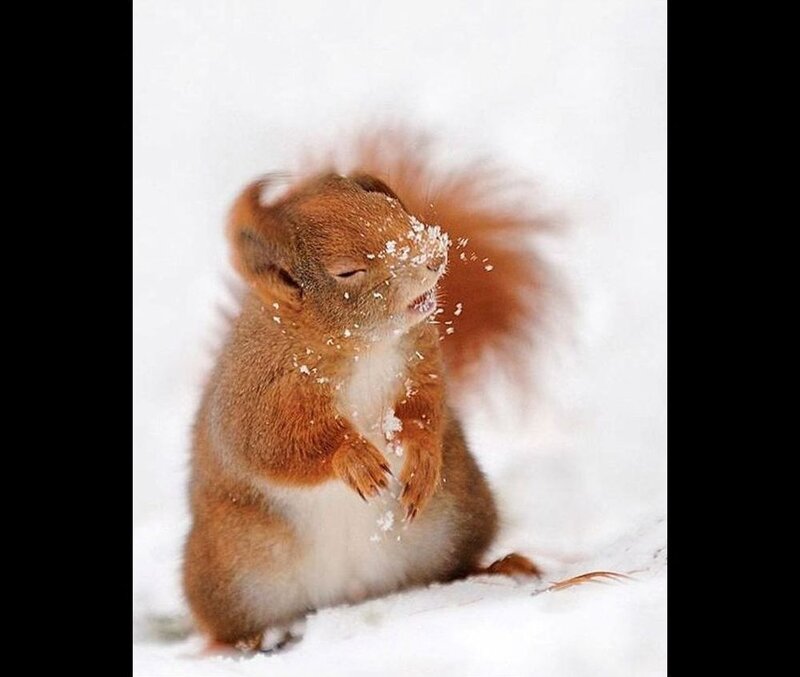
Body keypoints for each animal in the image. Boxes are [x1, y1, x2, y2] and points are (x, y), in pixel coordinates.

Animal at [182, 130, 550, 652]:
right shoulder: (257, 395)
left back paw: (498, 568)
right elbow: (275, 445)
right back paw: (240, 644)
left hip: (459, 514)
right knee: (225, 625)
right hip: (231, 572)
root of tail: (351, 594)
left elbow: (426, 406)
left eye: (392, 207)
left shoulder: (419, 357)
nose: (434, 255)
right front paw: (352, 458)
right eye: (347, 272)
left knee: (452, 568)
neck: (362, 348)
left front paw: (420, 453)